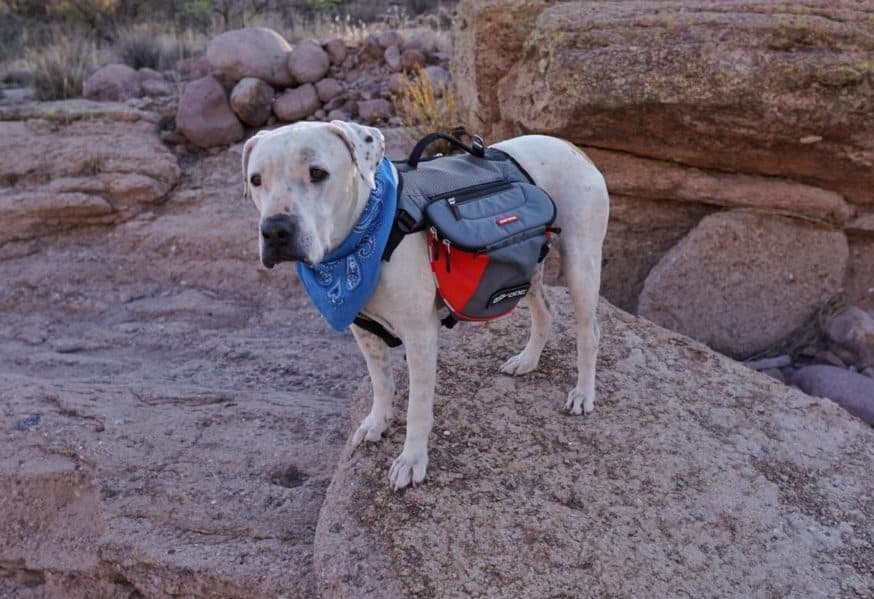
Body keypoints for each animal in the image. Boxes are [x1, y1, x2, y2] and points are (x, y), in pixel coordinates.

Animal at [238, 119, 608, 490]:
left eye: (317, 173)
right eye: (255, 180)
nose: (275, 230)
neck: (363, 238)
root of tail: (570, 146)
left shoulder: (420, 336)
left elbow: (417, 407)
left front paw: (411, 460)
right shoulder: (364, 330)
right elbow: (381, 380)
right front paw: (377, 421)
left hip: (580, 264)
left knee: (589, 335)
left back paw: (583, 393)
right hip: (522, 264)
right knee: (544, 312)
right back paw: (528, 360)